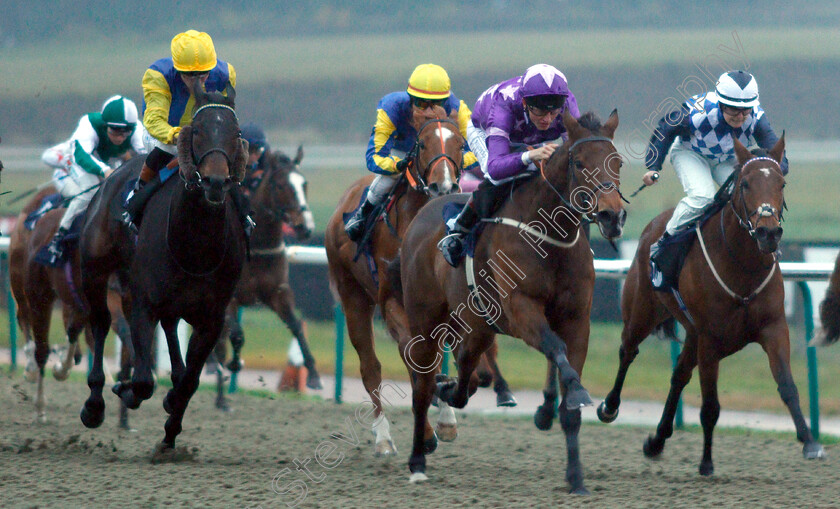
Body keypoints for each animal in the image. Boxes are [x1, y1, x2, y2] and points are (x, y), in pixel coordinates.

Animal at [79, 79, 248, 448]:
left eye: (235, 132)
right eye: (197, 131)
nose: (215, 182)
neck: (195, 245)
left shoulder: (213, 317)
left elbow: (190, 382)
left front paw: (170, 431)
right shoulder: (144, 302)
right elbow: (143, 380)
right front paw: (126, 389)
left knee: (171, 329)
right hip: (96, 271)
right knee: (100, 322)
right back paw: (95, 403)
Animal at [213, 144, 322, 408]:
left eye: (304, 184)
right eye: (281, 186)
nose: (305, 227)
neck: (257, 245)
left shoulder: (278, 292)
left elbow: (296, 325)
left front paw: (313, 375)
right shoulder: (230, 298)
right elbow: (237, 335)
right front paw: (235, 363)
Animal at [398, 111, 628, 492]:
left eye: (618, 162)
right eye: (580, 163)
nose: (613, 216)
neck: (549, 239)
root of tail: (421, 215)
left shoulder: (577, 320)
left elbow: (568, 391)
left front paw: (576, 477)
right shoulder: (521, 309)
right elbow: (555, 347)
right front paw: (574, 394)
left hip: (478, 326)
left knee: (466, 373)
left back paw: (450, 391)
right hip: (425, 320)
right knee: (421, 385)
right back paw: (417, 460)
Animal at [596, 134, 828, 472]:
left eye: (782, 183)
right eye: (745, 184)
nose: (769, 232)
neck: (742, 266)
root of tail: (653, 225)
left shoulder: (773, 328)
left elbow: (787, 386)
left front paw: (811, 443)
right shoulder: (710, 338)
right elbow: (709, 406)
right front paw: (706, 462)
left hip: (691, 333)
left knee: (679, 374)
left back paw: (657, 440)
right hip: (642, 311)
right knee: (628, 351)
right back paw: (609, 407)